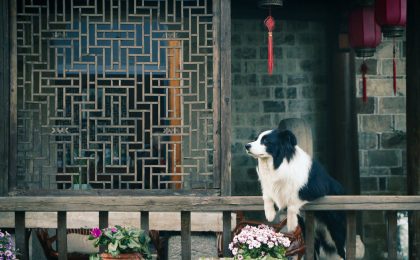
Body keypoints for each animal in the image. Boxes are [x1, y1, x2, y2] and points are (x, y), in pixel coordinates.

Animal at [246, 129, 344, 258]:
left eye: (266, 141)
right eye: (256, 139)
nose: (247, 146)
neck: (277, 163)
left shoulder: (315, 188)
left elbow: (293, 199)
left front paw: (291, 223)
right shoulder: (269, 185)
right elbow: (267, 195)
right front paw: (270, 214)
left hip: (334, 227)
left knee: (340, 249)